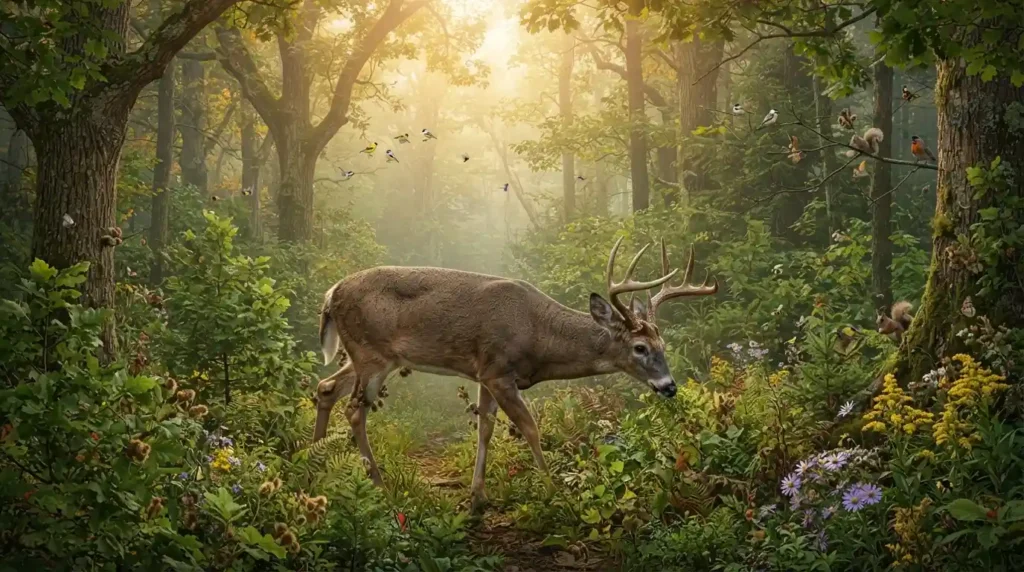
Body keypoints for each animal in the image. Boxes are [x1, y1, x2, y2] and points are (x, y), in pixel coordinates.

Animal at [312, 237, 718, 513]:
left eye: (663, 343)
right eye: (640, 348)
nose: (669, 386)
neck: (539, 335)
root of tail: (330, 294)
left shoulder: (484, 373)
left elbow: (485, 428)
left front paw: (478, 497)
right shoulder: (498, 370)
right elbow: (530, 428)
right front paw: (553, 491)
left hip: (368, 356)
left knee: (326, 386)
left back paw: (313, 464)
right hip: (372, 354)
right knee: (354, 409)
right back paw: (379, 485)